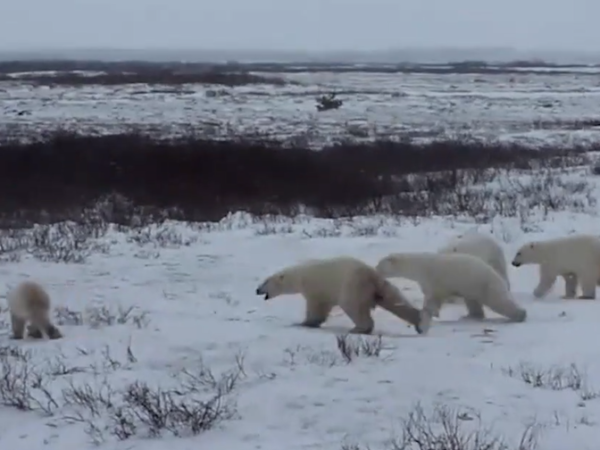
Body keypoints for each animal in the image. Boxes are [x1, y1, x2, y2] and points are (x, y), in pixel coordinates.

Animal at [255, 256, 428, 334]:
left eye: (265, 281)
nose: (257, 290)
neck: (300, 276)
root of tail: (370, 274)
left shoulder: (316, 287)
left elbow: (316, 307)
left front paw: (303, 323)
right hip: (381, 287)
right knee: (396, 301)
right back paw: (419, 323)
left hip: (352, 286)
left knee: (353, 306)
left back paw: (358, 328)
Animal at [378, 250, 528, 330]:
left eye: (380, 264)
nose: (376, 269)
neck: (422, 266)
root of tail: (497, 276)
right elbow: (429, 297)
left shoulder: (436, 279)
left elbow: (434, 297)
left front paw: (432, 313)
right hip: (473, 288)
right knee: (474, 303)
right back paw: (469, 316)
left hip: (484, 285)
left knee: (499, 301)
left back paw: (520, 315)